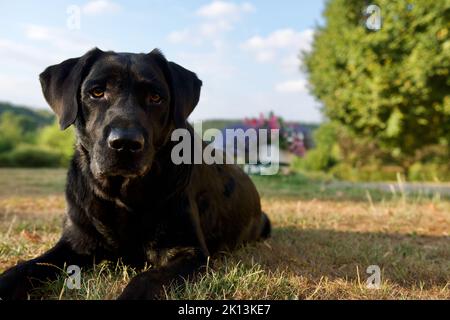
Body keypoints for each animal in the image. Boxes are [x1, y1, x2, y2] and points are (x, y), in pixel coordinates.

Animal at [0, 48, 270, 300]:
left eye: (156, 97)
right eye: (96, 92)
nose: (125, 143)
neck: (121, 195)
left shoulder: (190, 252)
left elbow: (146, 280)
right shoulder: (74, 240)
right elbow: (24, 268)